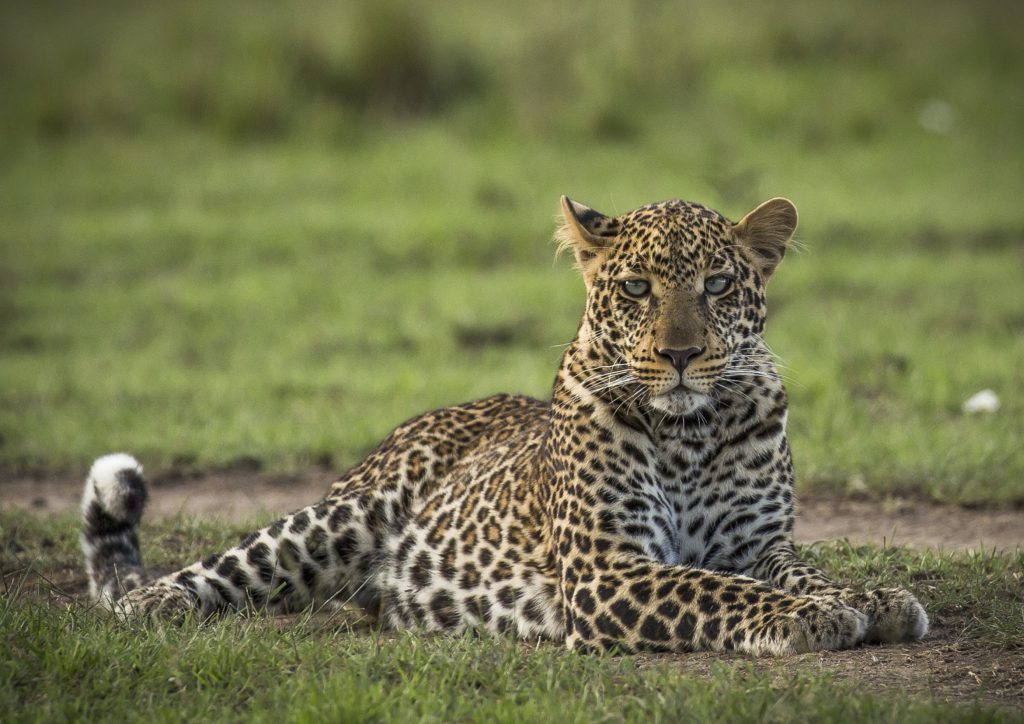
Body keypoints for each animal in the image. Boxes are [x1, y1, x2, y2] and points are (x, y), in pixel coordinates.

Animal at [79, 196, 929, 655]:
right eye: (635, 287)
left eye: (719, 285)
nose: (681, 354)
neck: (690, 432)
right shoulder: (606, 569)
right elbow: (715, 590)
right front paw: (814, 615)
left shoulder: (757, 544)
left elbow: (795, 569)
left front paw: (873, 597)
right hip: (337, 518)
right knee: (201, 576)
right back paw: (156, 607)